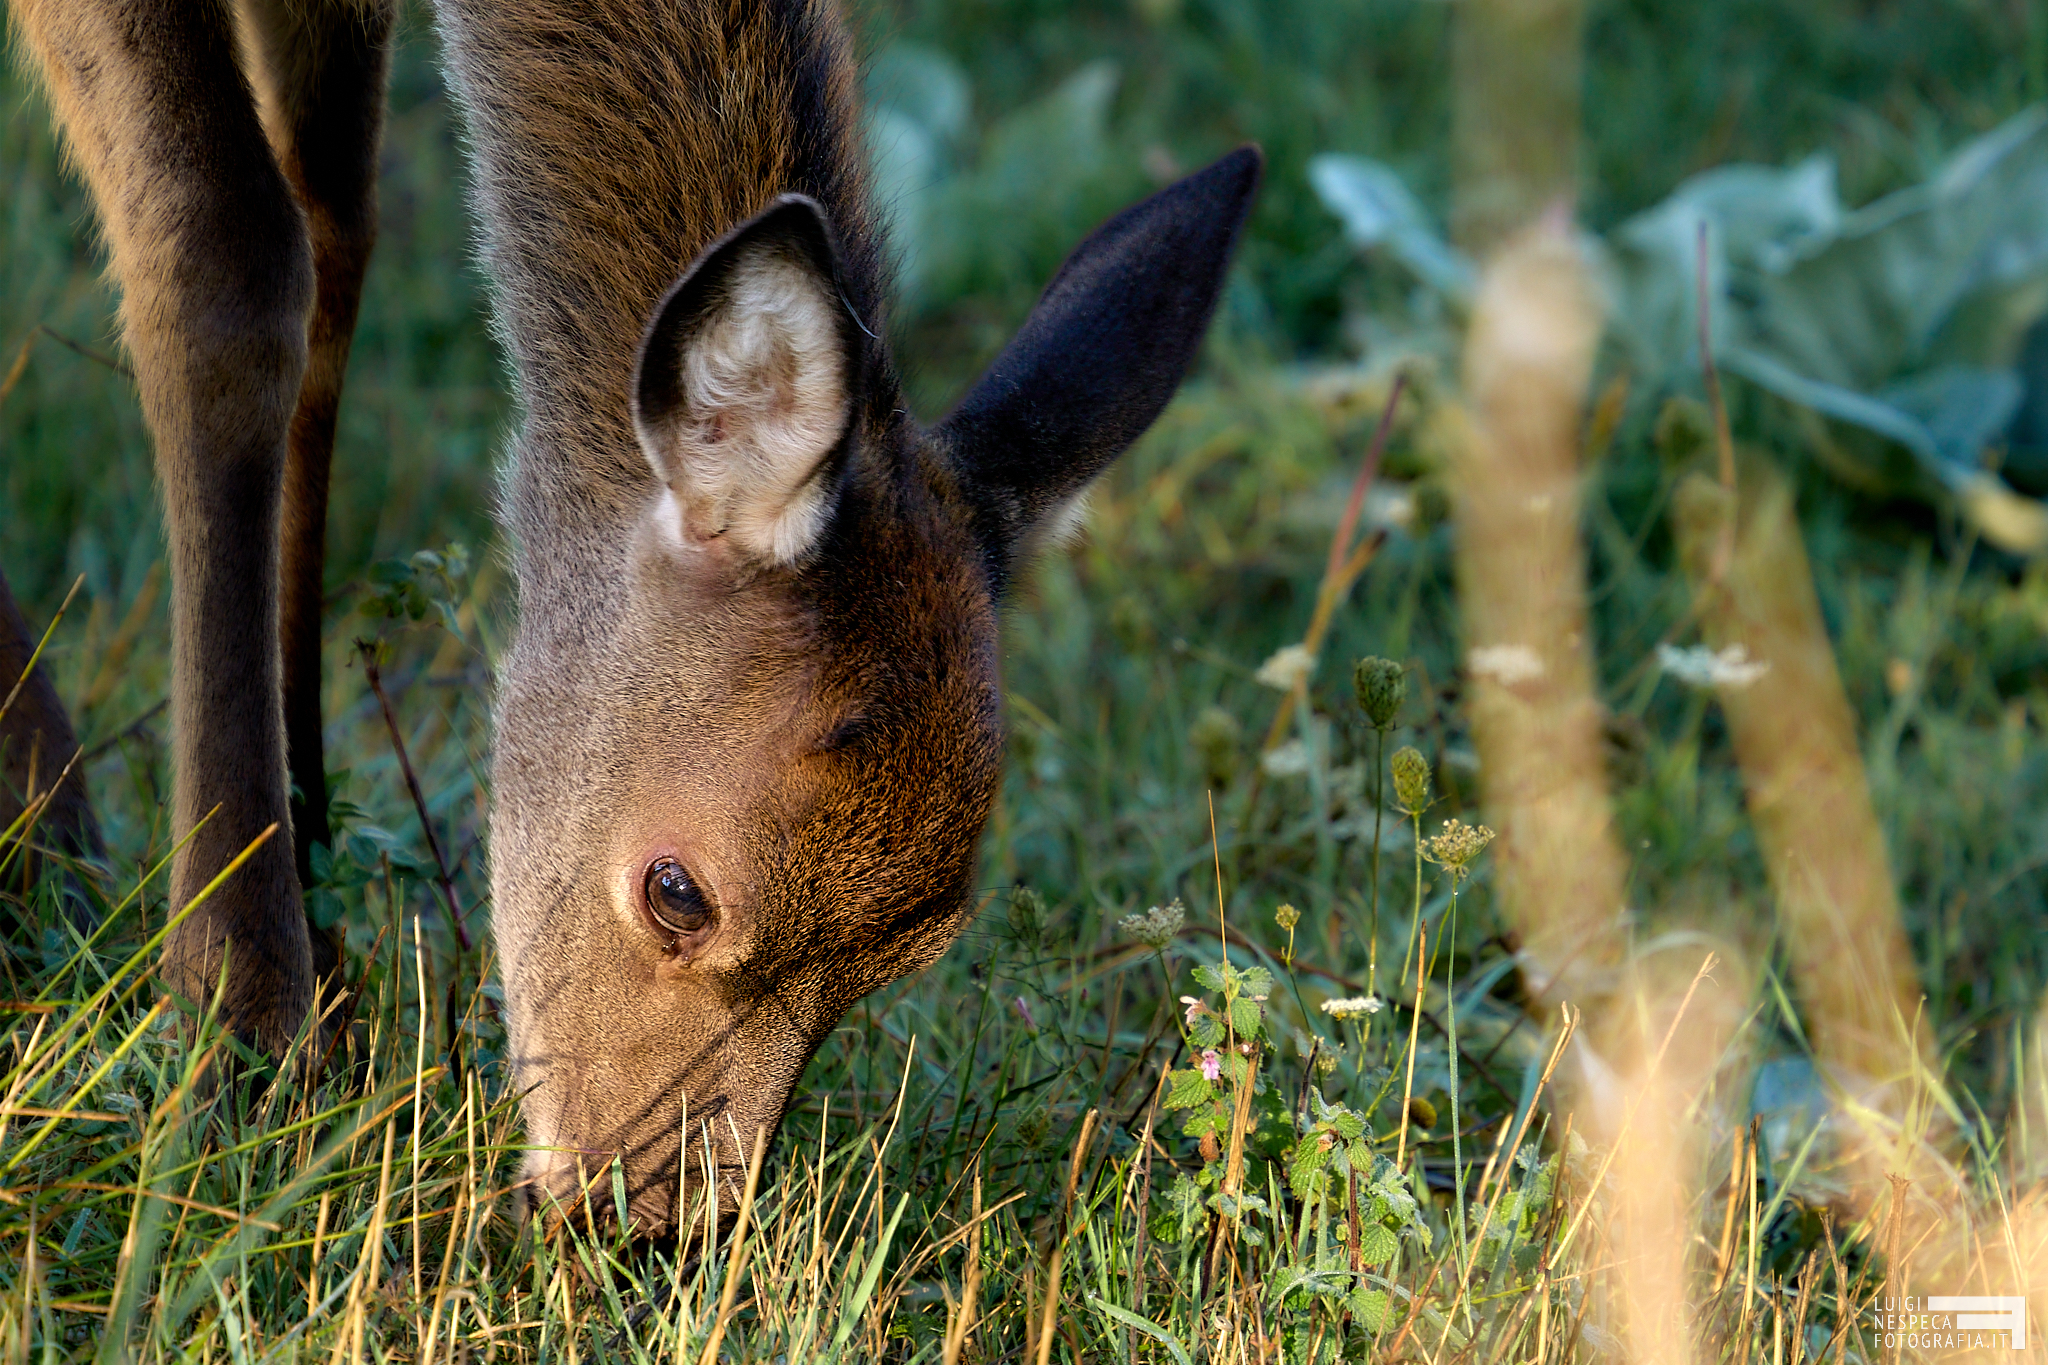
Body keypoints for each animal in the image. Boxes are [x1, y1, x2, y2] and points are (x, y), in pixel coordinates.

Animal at [3, 0, 1258, 1232]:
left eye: (916, 946)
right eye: (676, 892)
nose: (646, 1225)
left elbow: (337, 219)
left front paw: (315, 906)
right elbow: (226, 258)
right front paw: (244, 1030)